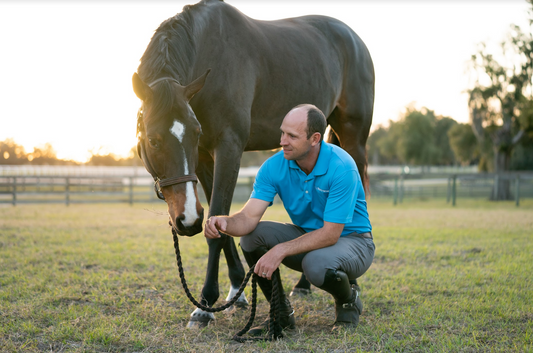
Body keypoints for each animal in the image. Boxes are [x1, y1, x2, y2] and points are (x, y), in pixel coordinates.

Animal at [132, 0, 374, 328]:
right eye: (154, 139)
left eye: (193, 132)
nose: (187, 220)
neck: (211, 51)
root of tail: (354, 39)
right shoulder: (206, 157)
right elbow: (219, 223)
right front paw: (236, 291)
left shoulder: (229, 147)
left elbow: (216, 223)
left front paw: (204, 306)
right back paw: (302, 286)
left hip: (354, 140)